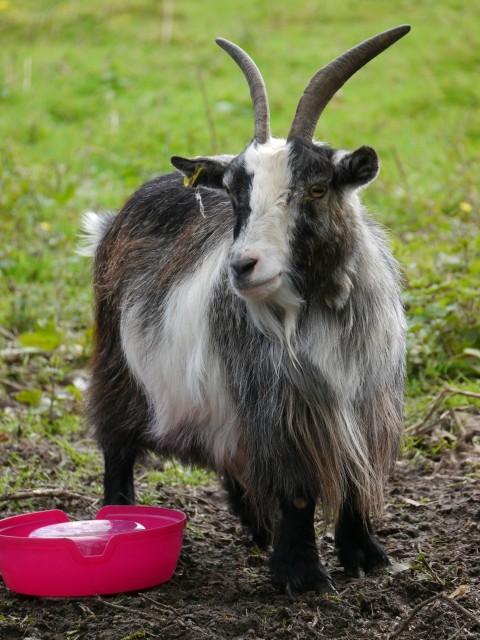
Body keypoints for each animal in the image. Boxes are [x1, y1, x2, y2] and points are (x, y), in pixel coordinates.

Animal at [81, 23, 408, 596]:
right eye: (235, 192)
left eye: (316, 188)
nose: (242, 266)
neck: (316, 310)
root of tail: (115, 218)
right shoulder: (280, 410)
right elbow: (297, 491)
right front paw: (302, 576)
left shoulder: (364, 405)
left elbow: (355, 478)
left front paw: (366, 557)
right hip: (118, 368)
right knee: (116, 442)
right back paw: (116, 517)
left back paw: (257, 527)